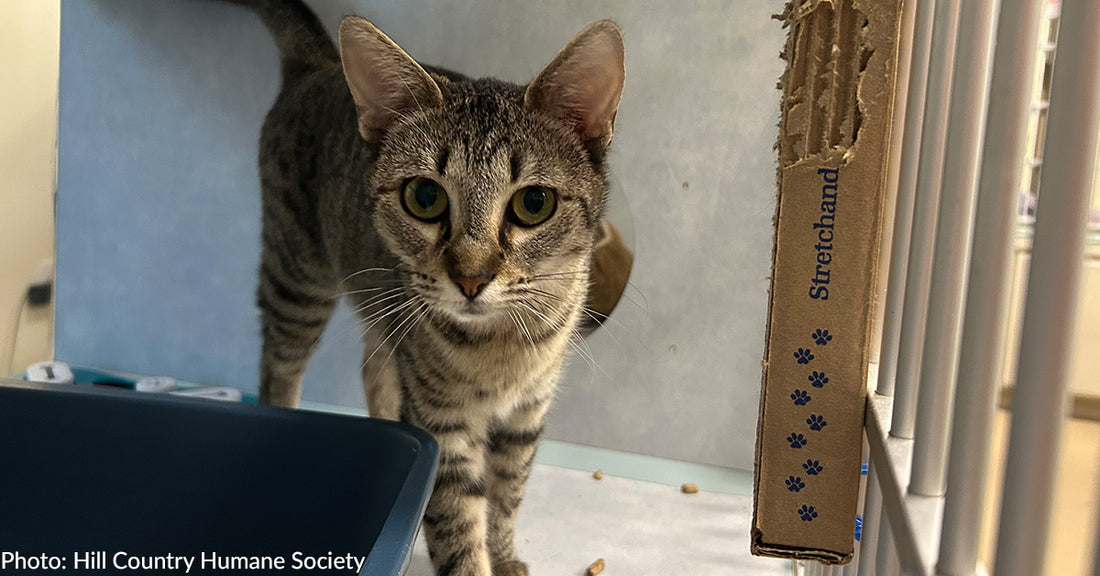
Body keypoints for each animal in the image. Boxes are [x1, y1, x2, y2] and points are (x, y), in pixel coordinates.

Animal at [229, 2, 629, 571]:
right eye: (424, 197)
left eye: (534, 204)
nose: (471, 278)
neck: (500, 345)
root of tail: (319, 65)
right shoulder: (444, 426)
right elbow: (460, 527)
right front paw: (476, 556)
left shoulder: (525, 416)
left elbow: (507, 495)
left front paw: (504, 556)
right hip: (297, 277)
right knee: (278, 370)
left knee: (374, 370)